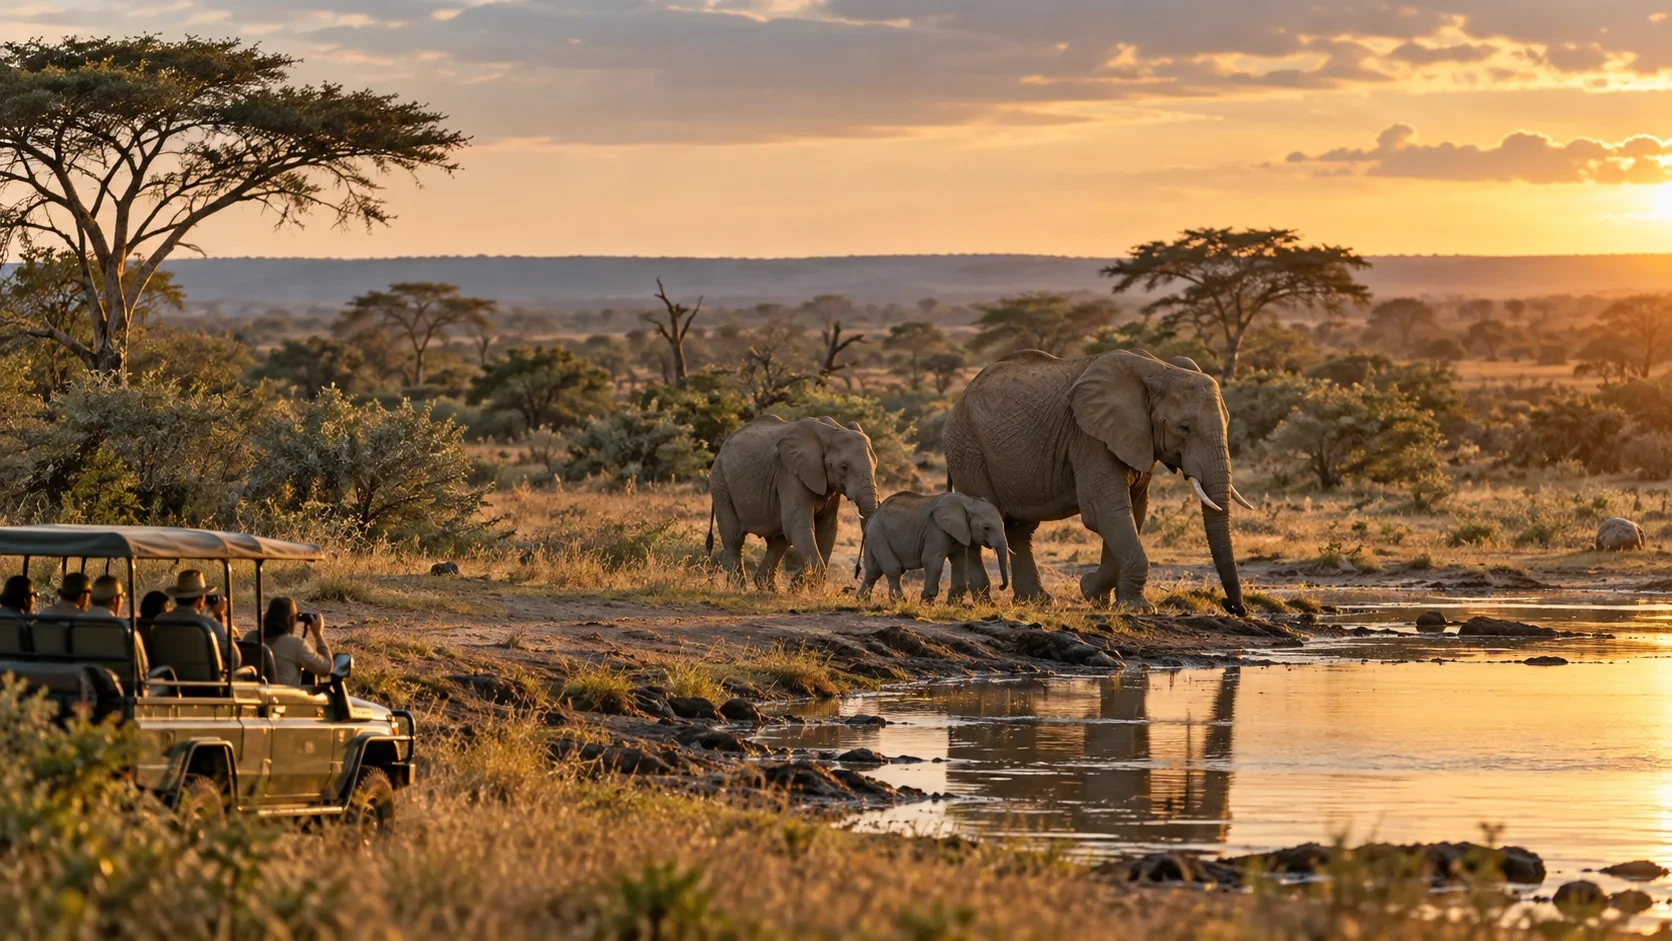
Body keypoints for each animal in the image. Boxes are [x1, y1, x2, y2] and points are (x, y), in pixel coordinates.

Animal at [707, 415, 880, 589]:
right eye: (844, 467)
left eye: (875, 465)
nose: (857, 571)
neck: (831, 431)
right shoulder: (790, 473)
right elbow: (799, 525)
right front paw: (802, 586)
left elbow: (828, 527)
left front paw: (798, 586)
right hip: (720, 482)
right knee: (735, 537)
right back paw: (739, 589)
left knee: (779, 541)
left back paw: (768, 589)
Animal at [856, 491, 1010, 602]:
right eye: (986, 528)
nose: (1001, 587)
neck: (967, 501)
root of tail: (872, 518)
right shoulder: (936, 530)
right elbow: (931, 560)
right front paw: (926, 602)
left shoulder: (959, 532)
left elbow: (960, 561)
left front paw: (953, 604)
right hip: (879, 535)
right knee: (893, 569)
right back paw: (899, 602)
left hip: (874, 537)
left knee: (873, 571)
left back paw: (862, 601)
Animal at [943, 349, 1252, 615]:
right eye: (1184, 428)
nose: (1234, 608)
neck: (1159, 369)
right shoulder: (1088, 438)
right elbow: (1105, 512)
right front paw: (1133, 607)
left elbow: (1132, 512)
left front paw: (1097, 595)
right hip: (968, 449)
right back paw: (985, 600)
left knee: (1019, 529)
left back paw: (1037, 602)